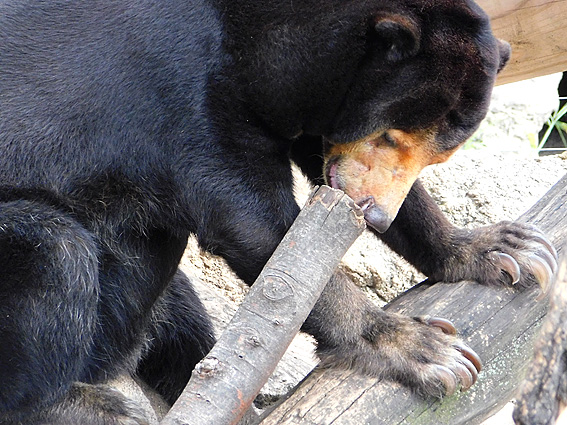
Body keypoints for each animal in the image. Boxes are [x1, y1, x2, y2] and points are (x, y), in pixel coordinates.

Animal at [0, 0, 556, 422]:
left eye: (437, 156)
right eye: (389, 135)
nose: (373, 213)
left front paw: (501, 250)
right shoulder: (181, 91)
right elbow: (254, 224)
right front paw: (421, 348)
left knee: (178, 315)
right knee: (58, 251)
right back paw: (81, 404)